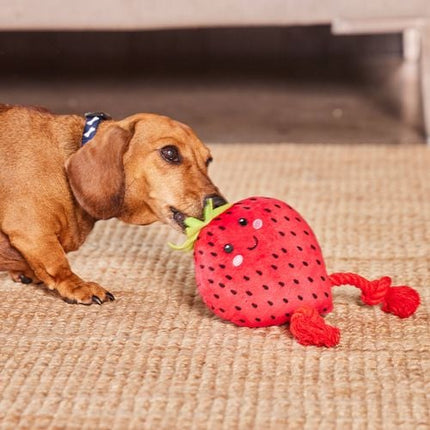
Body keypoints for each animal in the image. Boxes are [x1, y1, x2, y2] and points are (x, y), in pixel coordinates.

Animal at [0, 104, 225, 306]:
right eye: (169, 152)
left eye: (208, 161)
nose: (219, 203)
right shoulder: (31, 231)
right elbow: (56, 263)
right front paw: (77, 285)